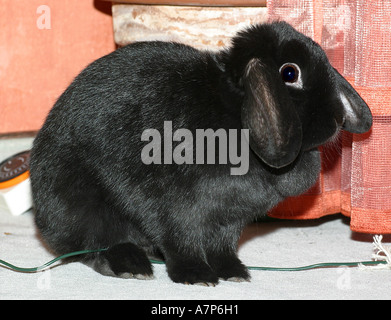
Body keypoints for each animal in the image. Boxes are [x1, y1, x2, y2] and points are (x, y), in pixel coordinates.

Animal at [29, 21, 372, 284]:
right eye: (290, 74)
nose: (337, 118)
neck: (234, 116)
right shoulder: (175, 209)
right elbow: (182, 243)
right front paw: (196, 276)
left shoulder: (230, 220)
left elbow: (222, 247)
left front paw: (234, 273)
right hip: (79, 205)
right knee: (92, 246)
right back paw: (131, 266)